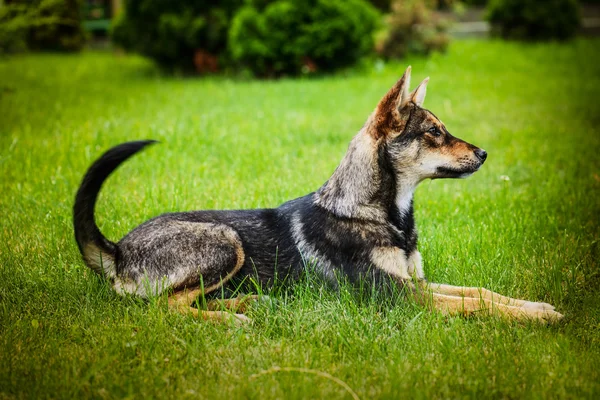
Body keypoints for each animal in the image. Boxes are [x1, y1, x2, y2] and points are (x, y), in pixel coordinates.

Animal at [72, 67, 564, 324]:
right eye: (434, 132)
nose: (484, 154)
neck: (377, 213)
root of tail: (117, 250)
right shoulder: (397, 296)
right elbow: (472, 304)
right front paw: (538, 317)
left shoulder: (415, 283)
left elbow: (481, 292)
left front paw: (535, 306)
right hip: (222, 240)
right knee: (163, 307)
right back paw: (232, 318)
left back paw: (250, 302)